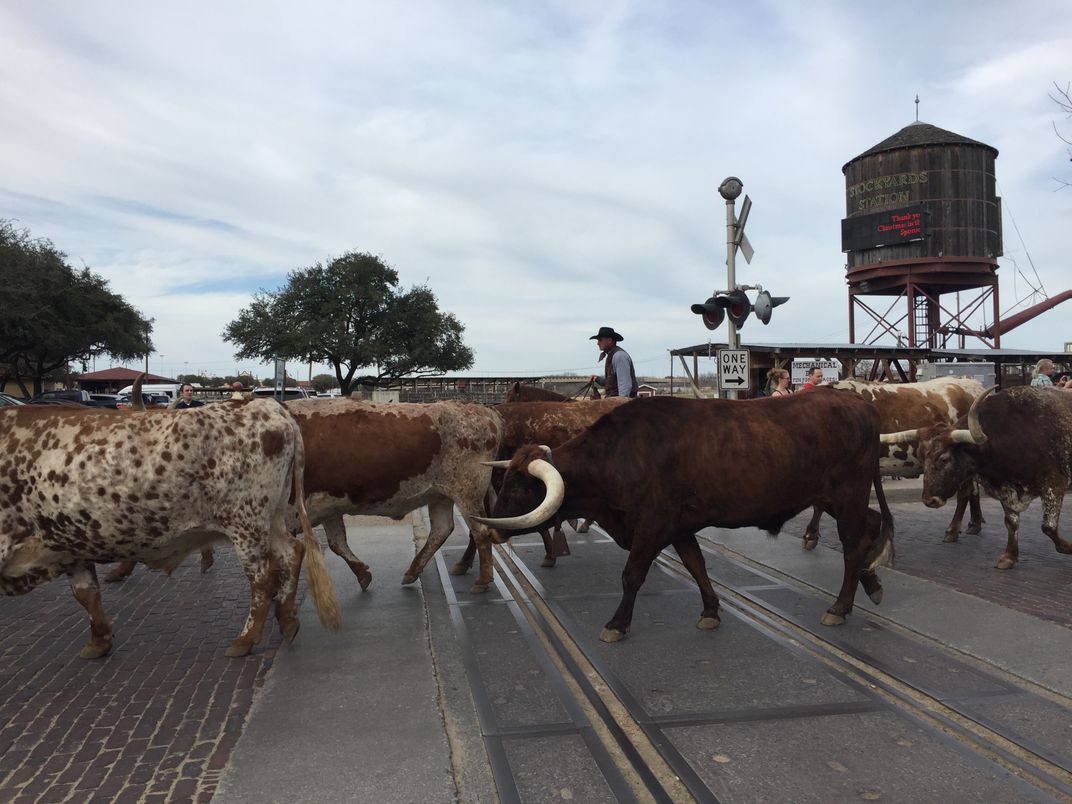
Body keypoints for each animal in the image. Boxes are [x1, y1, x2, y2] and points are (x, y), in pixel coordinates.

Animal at [0, 403, 338, 660]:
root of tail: (267, 407)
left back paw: (245, 639)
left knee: (263, 579)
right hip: (272, 519)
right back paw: (287, 620)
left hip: (246, 523)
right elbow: (86, 593)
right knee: (292, 552)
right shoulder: (69, 544)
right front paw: (99, 642)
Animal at [283, 400, 503, 596]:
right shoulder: (328, 507)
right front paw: (362, 574)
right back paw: (413, 572)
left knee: (481, 531)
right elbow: (337, 542)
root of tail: (479, 409)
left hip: (467, 493)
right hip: (441, 495)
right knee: (442, 529)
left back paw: (482, 580)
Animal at [801, 377, 981, 553]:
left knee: (965, 492)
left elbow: (820, 504)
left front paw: (811, 535)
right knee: (974, 490)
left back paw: (953, 530)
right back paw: (975, 524)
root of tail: (972, 384)